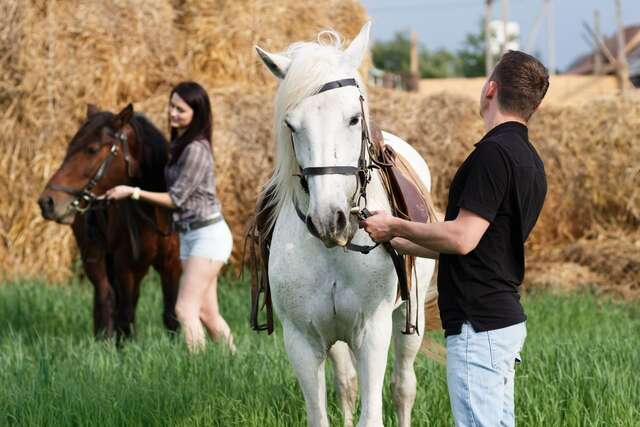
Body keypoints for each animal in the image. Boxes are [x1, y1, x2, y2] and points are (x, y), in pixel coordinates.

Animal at [37, 103, 182, 342]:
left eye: (92, 149)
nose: (47, 201)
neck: (155, 210)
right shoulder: (127, 267)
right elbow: (125, 318)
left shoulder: (172, 265)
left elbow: (172, 316)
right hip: (95, 258)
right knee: (106, 298)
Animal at [258, 23, 438, 427]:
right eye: (291, 125)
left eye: (354, 118)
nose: (329, 220)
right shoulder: (302, 340)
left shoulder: (372, 332)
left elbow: (373, 413)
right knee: (346, 383)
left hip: (409, 319)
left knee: (403, 387)